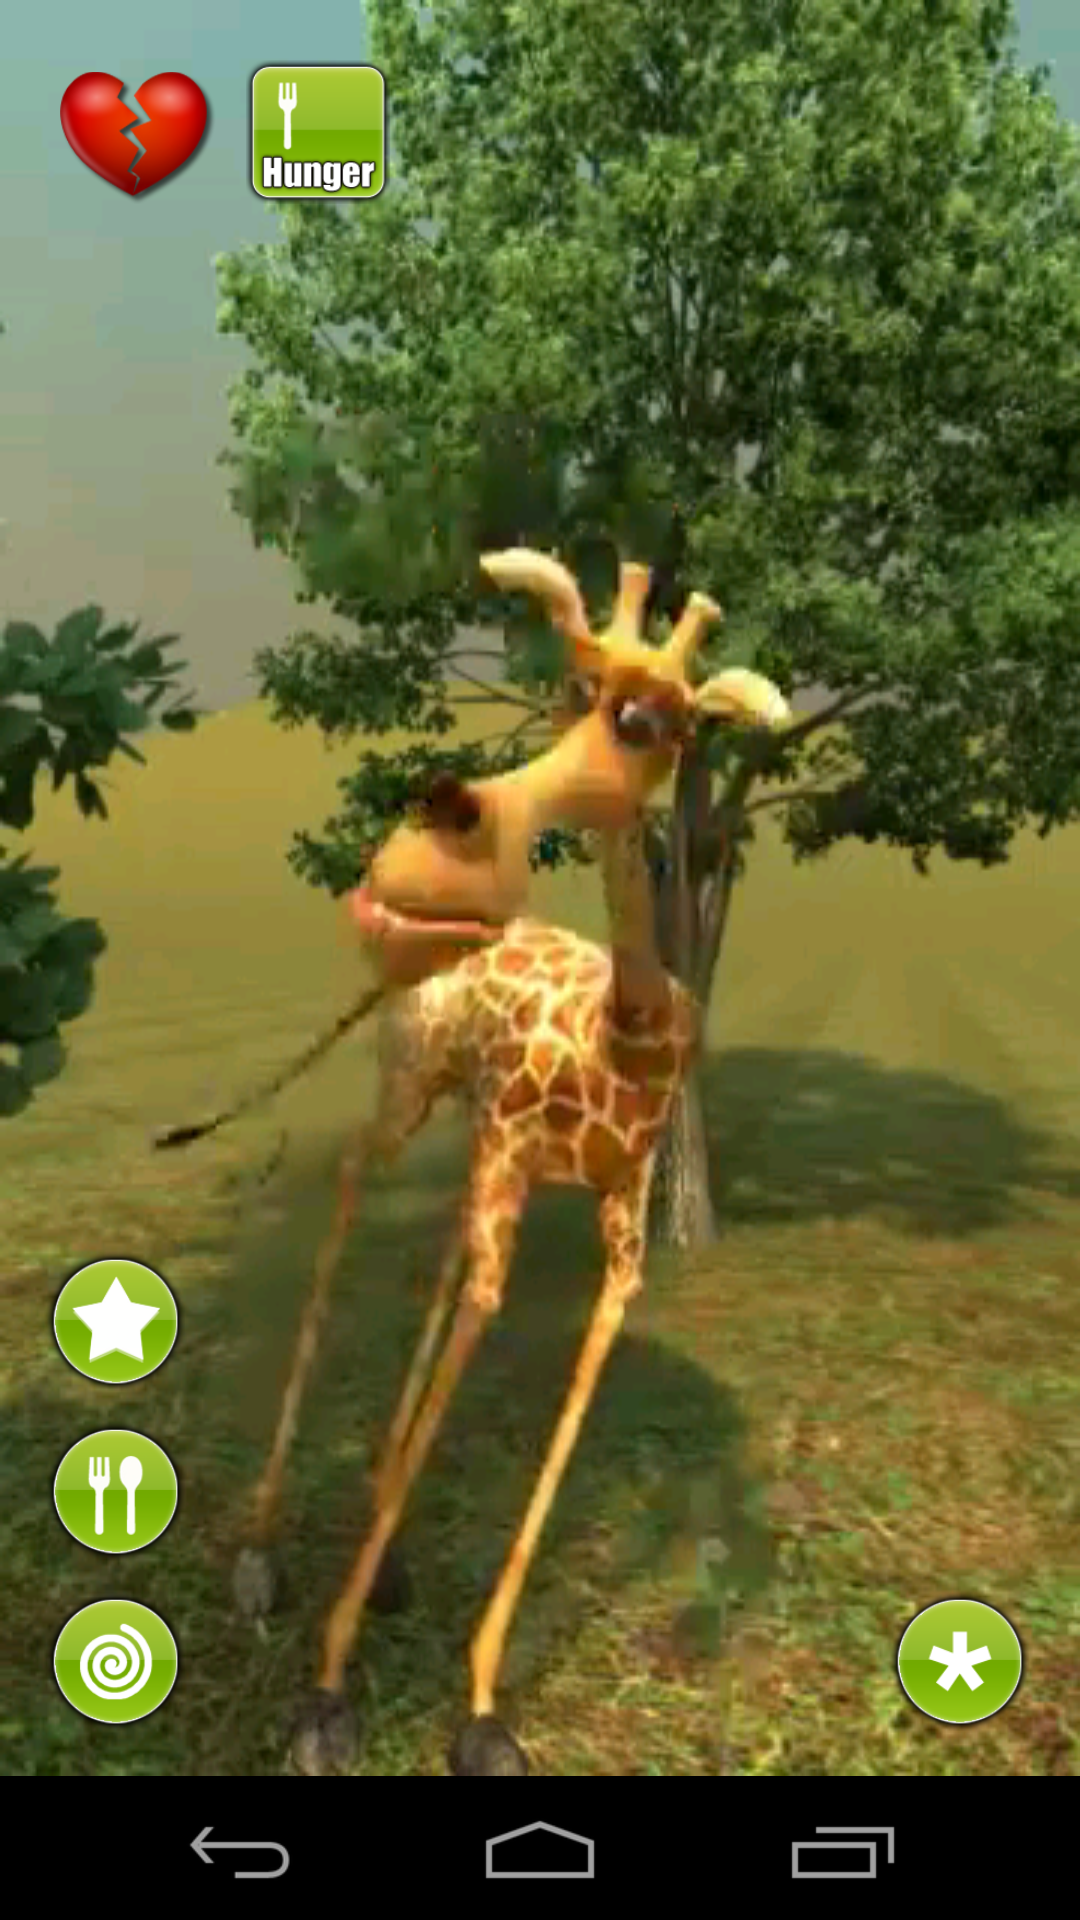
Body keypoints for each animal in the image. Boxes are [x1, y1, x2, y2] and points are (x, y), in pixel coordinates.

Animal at [229, 548, 791, 1776]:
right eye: (574, 687)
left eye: (655, 722)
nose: (445, 835)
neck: (628, 1038)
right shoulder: (514, 1154)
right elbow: (482, 1313)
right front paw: (327, 1694)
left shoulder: (619, 1208)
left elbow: (575, 1353)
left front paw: (483, 1710)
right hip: (416, 1090)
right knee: (357, 1181)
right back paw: (264, 1549)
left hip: (471, 1126)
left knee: (442, 1255)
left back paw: (381, 1533)